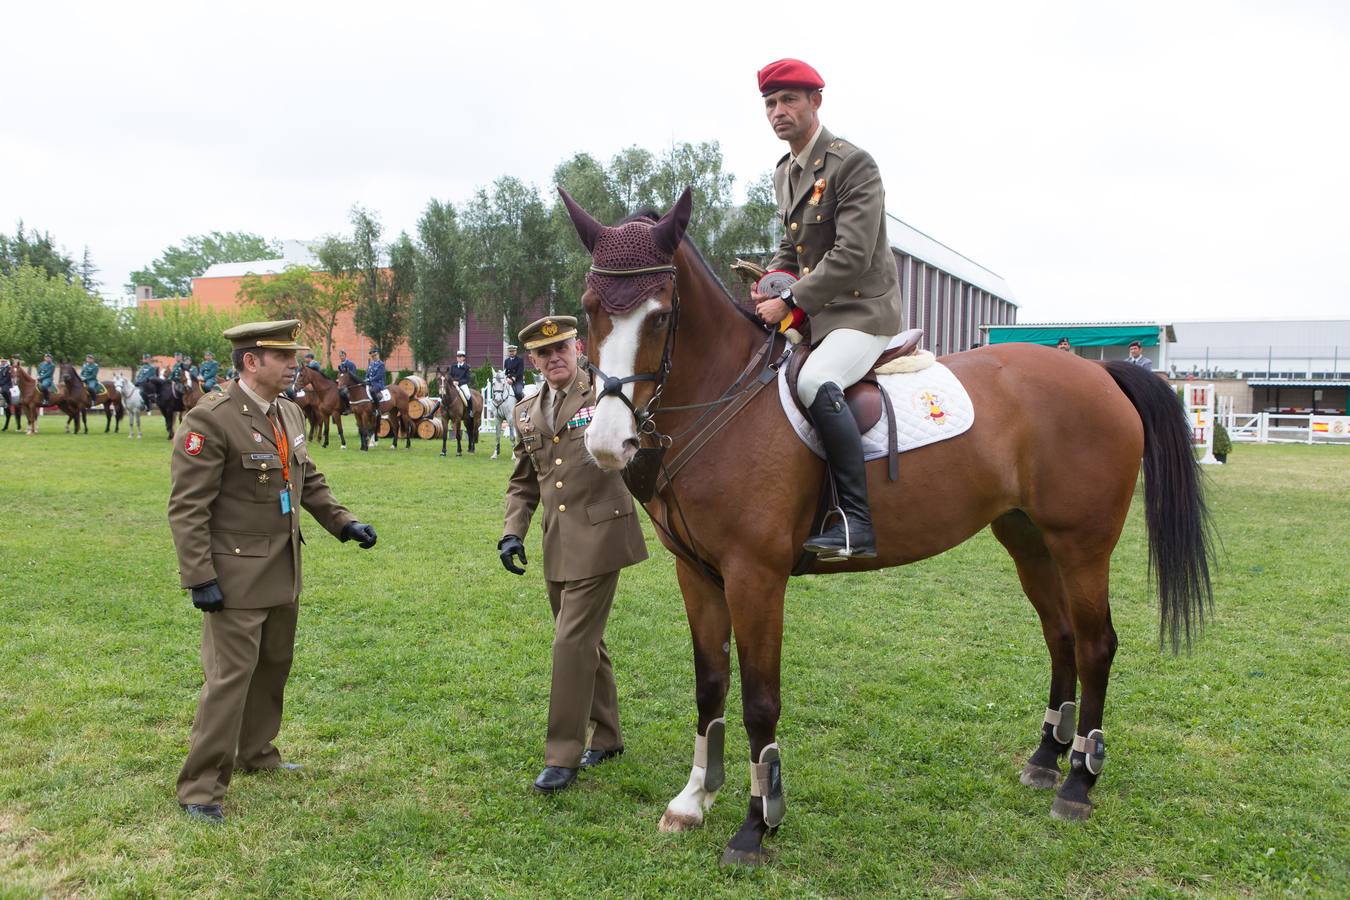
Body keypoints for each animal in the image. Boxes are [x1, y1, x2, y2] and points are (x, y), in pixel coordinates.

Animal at [558, 194, 1215, 868]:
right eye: (589, 309)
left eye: (661, 316)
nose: (609, 443)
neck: (724, 398)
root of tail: (1101, 374)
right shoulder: (697, 574)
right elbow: (710, 686)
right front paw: (693, 801)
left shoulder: (755, 577)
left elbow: (760, 701)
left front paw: (756, 825)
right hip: (1028, 539)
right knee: (1060, 638)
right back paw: (1045, 759)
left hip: (1082, 545)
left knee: (1094, 645)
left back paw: (1079, 783)